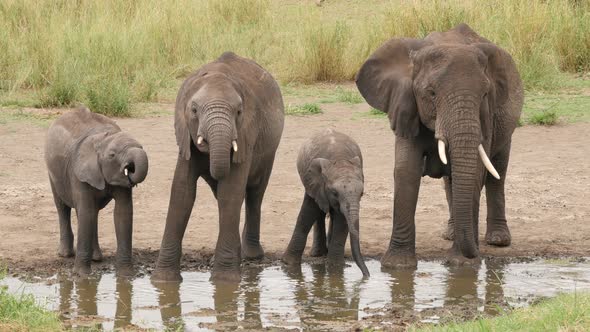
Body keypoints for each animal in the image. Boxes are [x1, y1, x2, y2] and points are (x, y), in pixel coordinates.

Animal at [45, 107, 149, 276]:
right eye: (112, 155)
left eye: (142, 148)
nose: (130, 168)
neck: (102, 139)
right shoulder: (78, 172)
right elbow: (86, 211)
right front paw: (82, 276)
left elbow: (123, 212)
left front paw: (126, 276)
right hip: (53, 172)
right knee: (63, 207)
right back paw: (65, 254)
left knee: (91, 212)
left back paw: (96, 258)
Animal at [154, 52, 286, 282]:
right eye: (194, 110)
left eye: (239, 112)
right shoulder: (185, 137)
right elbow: (182, 192)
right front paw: (163, 280)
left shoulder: (246, 134)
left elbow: (230, 192)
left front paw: (224, 281)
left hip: (269, 149)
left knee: (254, 193)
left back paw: (250, 255)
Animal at [282, 128, 370, 276]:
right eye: (334, 193)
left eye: (362, 193)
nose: (367, 276)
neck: (340, 159)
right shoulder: (315, 182)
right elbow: (307, 213)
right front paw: (288, 264)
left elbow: (342, 221)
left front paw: (335, 268)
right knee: (319, 211)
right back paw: (318, 254)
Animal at [358, 23, 524, 268]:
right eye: (432, 93)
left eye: (485, 94)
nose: (474, 254)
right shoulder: (406, 105)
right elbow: (406, 170)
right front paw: (397, 266)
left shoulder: (486, 116)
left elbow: (476, 172)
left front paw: (462, 265)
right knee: (451, 180)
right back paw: (451, 234)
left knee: (498, 173)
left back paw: (497, 240)